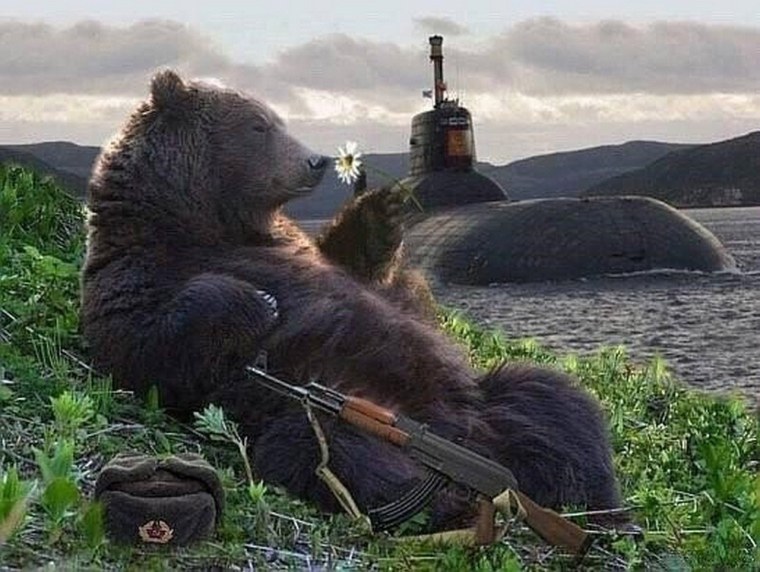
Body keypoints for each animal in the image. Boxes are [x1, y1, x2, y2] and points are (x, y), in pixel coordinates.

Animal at [81, 70, 624, 532]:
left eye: (276, 120)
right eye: (259, 125)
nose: (315, 161)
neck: (207, 222)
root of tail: (471, 438)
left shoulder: (307, 251)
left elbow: (370, 277)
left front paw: (379, 211)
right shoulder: (133, 269)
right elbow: (147, 347)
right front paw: (257, 302)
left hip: (487, 398)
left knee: (557, 402)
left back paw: (594, 500)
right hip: (320, 417)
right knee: (338, 456)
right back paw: (448, 503)